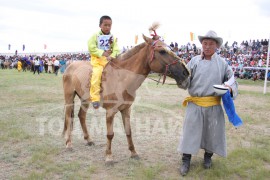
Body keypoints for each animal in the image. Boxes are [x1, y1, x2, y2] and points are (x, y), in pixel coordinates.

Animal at [62, 31, 189, 164]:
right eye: (162, 51)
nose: (185, 72)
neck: (121, 78)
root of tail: (70, 65)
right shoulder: (110, 111)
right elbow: (110, 134)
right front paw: (109, 156)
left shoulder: (126, 109)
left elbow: (129, 131)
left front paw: (133, 153)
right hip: (69, 98)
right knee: (68, 117)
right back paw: (68, 143)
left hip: (85, 100)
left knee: (81, 116)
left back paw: (88, 140)